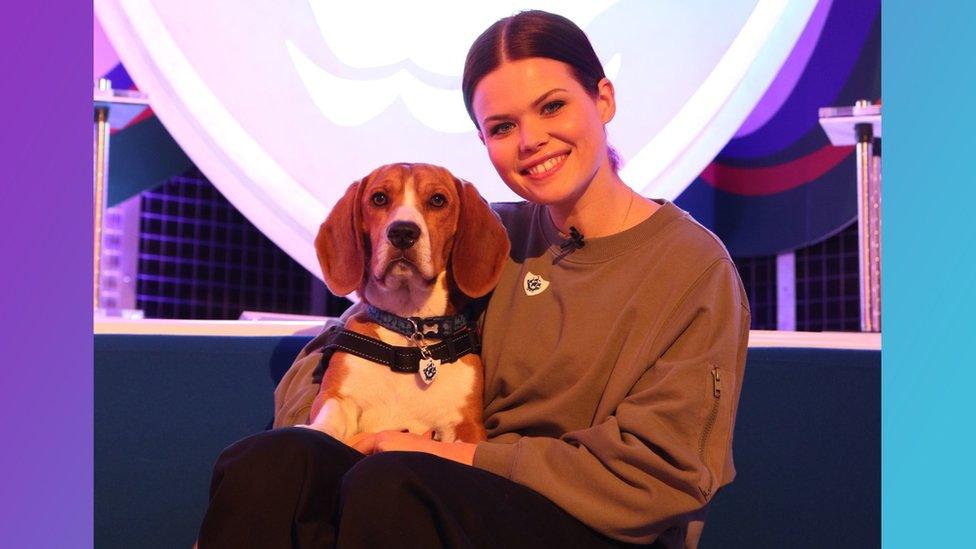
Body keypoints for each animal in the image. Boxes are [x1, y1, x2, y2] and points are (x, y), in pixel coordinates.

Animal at [302, 161, 508, 444]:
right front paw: (316, 430)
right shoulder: (337, 396)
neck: (410, 327)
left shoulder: (468, 425)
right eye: (379, 198)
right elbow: (330, 417)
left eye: (437, 200)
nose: (402, 232)